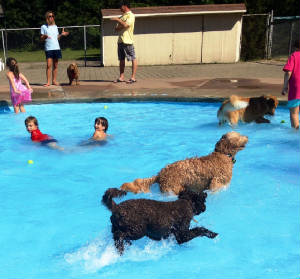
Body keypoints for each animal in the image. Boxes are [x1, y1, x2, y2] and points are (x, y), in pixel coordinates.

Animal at [120, 132, 248, 196]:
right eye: (239, 135)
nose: (247, 136)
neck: (223, 154)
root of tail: (160, 174)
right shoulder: (217, 183)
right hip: (173, 188)